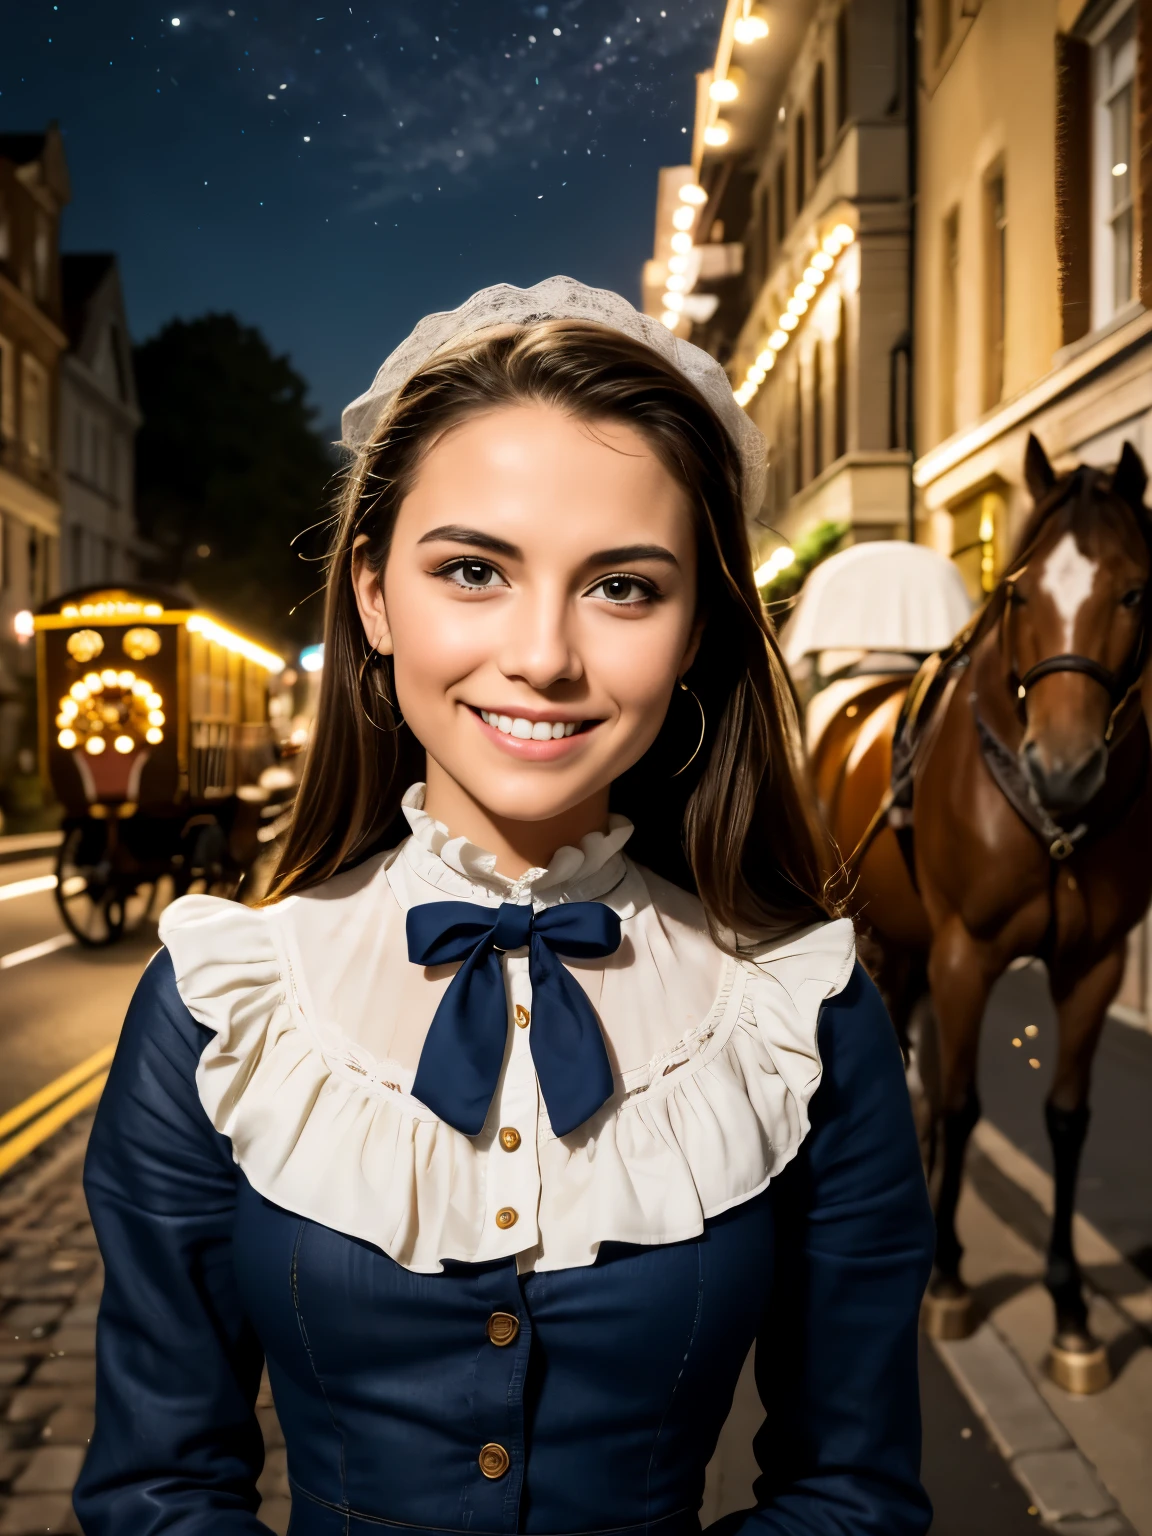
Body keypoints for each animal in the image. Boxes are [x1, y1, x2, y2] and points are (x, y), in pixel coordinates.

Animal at [823, 436, 1152, 1394]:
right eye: (1018, 591)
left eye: (1134, 591)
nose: (1064, 768)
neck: (1054, 826)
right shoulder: (965, 954)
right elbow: (965, 1103)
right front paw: (949, 1279)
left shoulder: (1096, 965)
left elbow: (1067, 1118)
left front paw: (1072, 1315)